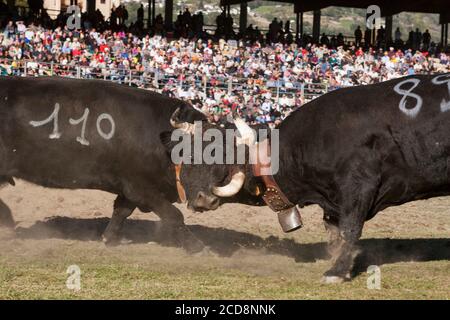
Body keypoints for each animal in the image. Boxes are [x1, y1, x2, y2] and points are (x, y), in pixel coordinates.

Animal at [0, 76, 207, 251]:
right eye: (195, 154)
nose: (207, 198)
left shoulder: (130, 188)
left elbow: (122, 210)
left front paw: (109, 238)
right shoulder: (141, 188)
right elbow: (173, 215)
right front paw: (198, 246)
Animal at [162, 74, 450, 282]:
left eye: (217, 154)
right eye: (186, 154)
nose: (198, 199)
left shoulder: (359, 187)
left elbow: (349, 229)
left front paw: (337, 271)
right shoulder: (333, 203)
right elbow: (334, 233)